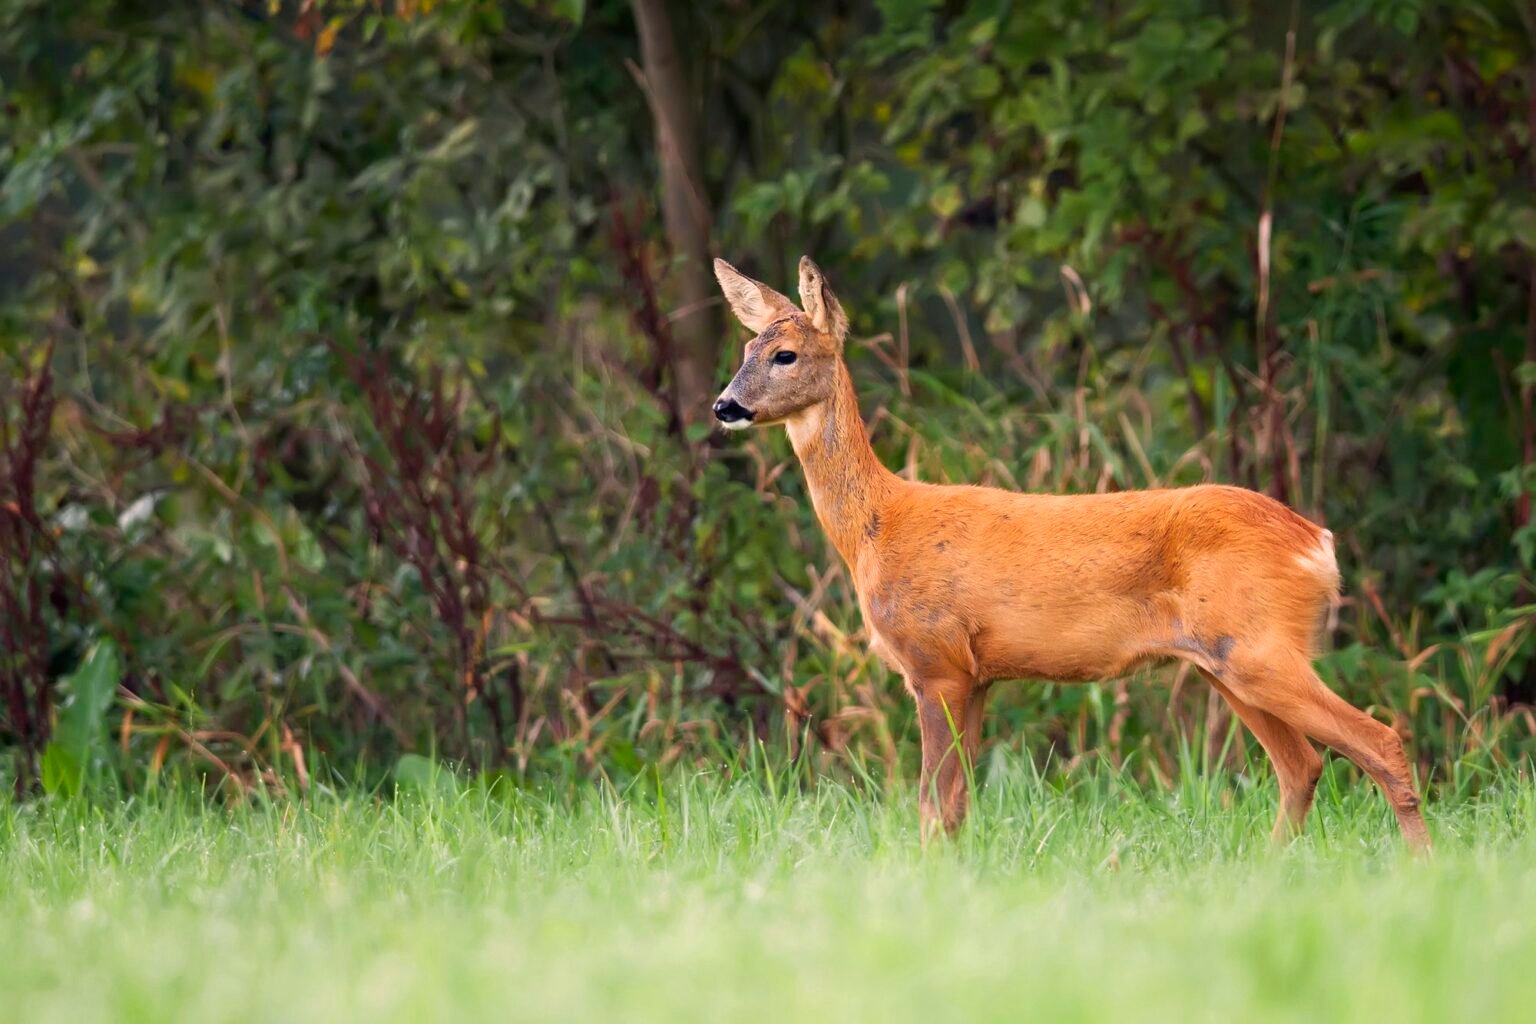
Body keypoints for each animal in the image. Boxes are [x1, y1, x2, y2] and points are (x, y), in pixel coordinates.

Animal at [712, 254, 1431, 847]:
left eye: (784, 354)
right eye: (746, 345)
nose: (724, 406)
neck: (877, 526)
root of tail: (1317, 542)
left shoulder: (935, 660)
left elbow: (932, 805)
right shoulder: (977, 674)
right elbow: (957, 805)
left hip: (1258, 647)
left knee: (1380, 741)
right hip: (1227, 662)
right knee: (1303, 766)